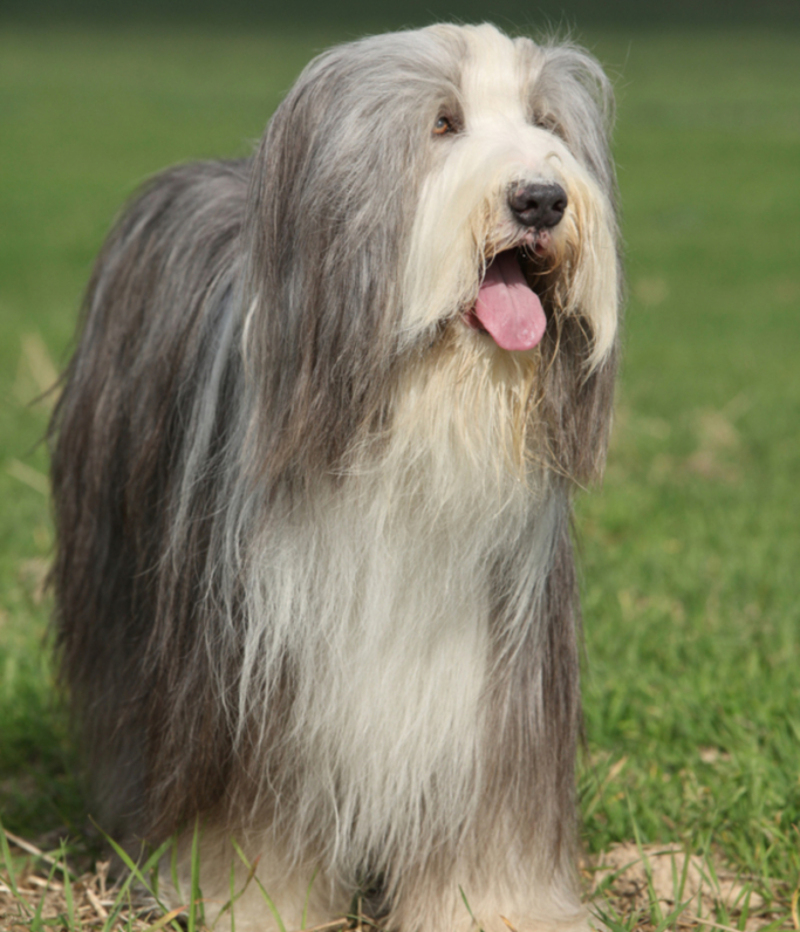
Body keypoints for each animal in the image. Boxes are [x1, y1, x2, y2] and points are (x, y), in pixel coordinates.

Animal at [50, 20, 620, 932]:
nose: (540, 199)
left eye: (547, 123)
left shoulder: (493, 681)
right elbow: (254, 822)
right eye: (442, 124)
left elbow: (487, 815)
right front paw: (249, 902)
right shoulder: (255, 671)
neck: (420, 417)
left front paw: (496, 907)